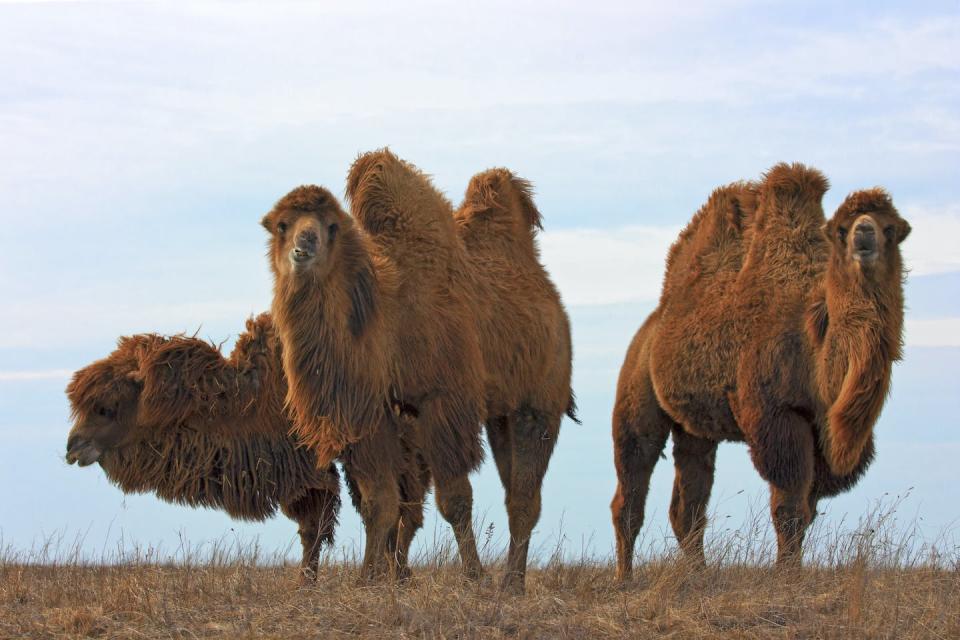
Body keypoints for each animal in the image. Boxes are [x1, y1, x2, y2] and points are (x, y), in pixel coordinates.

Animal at [612, 164, 912, 580]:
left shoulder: (820, 431)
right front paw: (787, 577)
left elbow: (807, 509)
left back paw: (699, 574)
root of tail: (651, 327)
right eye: (841, 228)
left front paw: (791, 570)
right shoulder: (777, 416)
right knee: (632, 481)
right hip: (637, 386)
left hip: (695, 426)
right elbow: (789, 508)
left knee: (688, 499)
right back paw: (625, 578)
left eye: (892, 228)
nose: (863, 235)